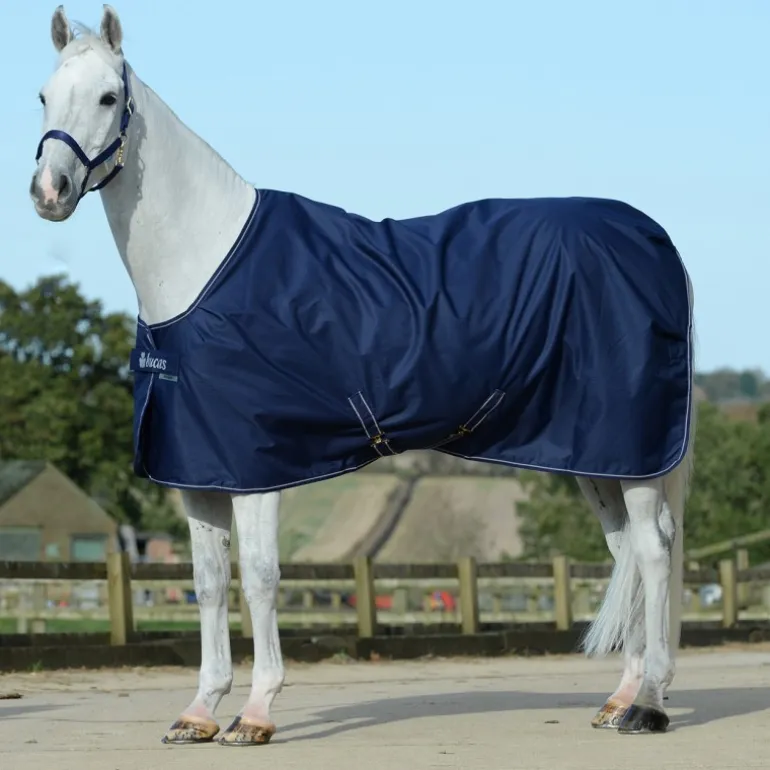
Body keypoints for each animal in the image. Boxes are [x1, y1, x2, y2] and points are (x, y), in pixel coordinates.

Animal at [30, 5, 696, 744]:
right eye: (44, 97)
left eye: (107, 98)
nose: (49, 192)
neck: (206, 263)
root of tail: (653, 240)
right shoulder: (198, 472)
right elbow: (207, 582)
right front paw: (199, 711)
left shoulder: (258, 468)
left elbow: (259, 577)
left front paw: (255, 713)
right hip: (597, 456)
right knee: (625, 551)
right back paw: (618, 699)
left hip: (632, 448)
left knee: (654, 551)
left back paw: (650, 703)